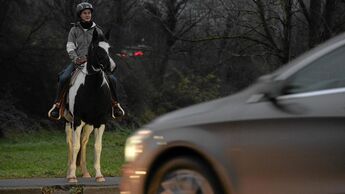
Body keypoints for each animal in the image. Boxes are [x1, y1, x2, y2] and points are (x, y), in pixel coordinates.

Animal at [63, 28, 114, 183]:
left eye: (109, 48)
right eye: (97, 49)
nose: (112, 66)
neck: (93, 88)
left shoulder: (100, 121)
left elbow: (97, 146)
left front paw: (99, 175)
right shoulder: (77, 120)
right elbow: (75, 146)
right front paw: (72, 177)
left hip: (89, 124)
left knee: (84, 142)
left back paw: (85, 173)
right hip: (69, 123)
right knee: (71, 143)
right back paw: (69, 173)